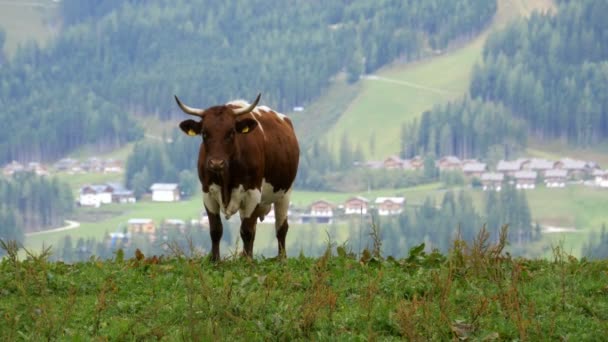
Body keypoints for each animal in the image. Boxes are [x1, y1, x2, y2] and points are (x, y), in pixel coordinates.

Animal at [176, 92, 300, 260]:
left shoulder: (252, 193)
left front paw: (247, 261)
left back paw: (281, 259)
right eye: (204, 133)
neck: (226, 180)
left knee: (281, 228)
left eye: (231, 132)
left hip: (285, 192)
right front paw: (215, 260)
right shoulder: (207, 193)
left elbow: (246, 231)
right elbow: (216, 230)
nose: (216, 163)